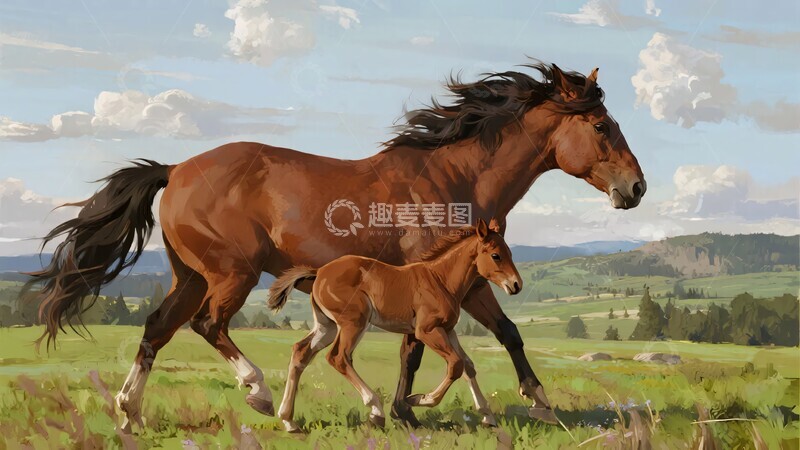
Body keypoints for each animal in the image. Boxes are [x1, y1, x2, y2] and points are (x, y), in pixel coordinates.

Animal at [268, 218, 521, 431]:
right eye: (496, 255)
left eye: (509, 252)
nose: (516, 285)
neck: (440, 279)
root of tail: (319, 271)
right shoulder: (426, 331)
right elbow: (456, 364)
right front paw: (419, 399)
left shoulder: (448, 330)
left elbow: (467, 366)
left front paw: (488, 416)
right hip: (353, 322)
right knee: (338, 357)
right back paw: (376, 412)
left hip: (327, 326)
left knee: (301, 351)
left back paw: (289, 421)